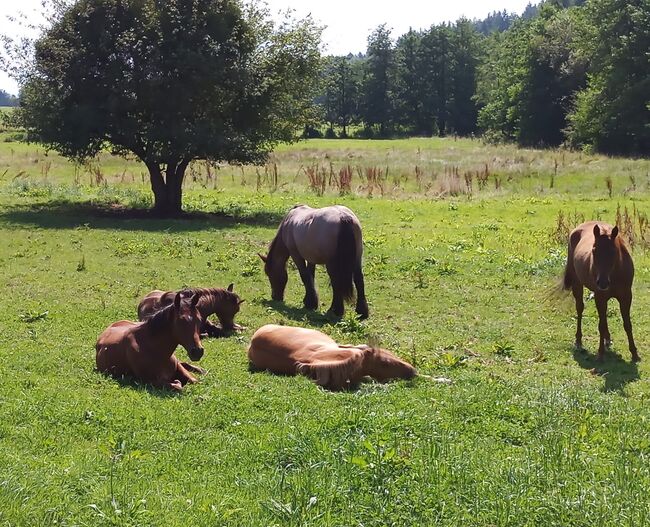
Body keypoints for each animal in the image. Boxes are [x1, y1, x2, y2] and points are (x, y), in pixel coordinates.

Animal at [560, 220, 636, 364]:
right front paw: (600, 354)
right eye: (594, 250)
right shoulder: (600, 296)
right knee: (580, 309)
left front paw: (634, 352)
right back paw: (579, 341)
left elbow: (627, 324)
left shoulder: (626, 296)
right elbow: (600, 324)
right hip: (578, 285)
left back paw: (607, 339)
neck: (615, 274)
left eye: (613, 251)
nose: (602, 283)